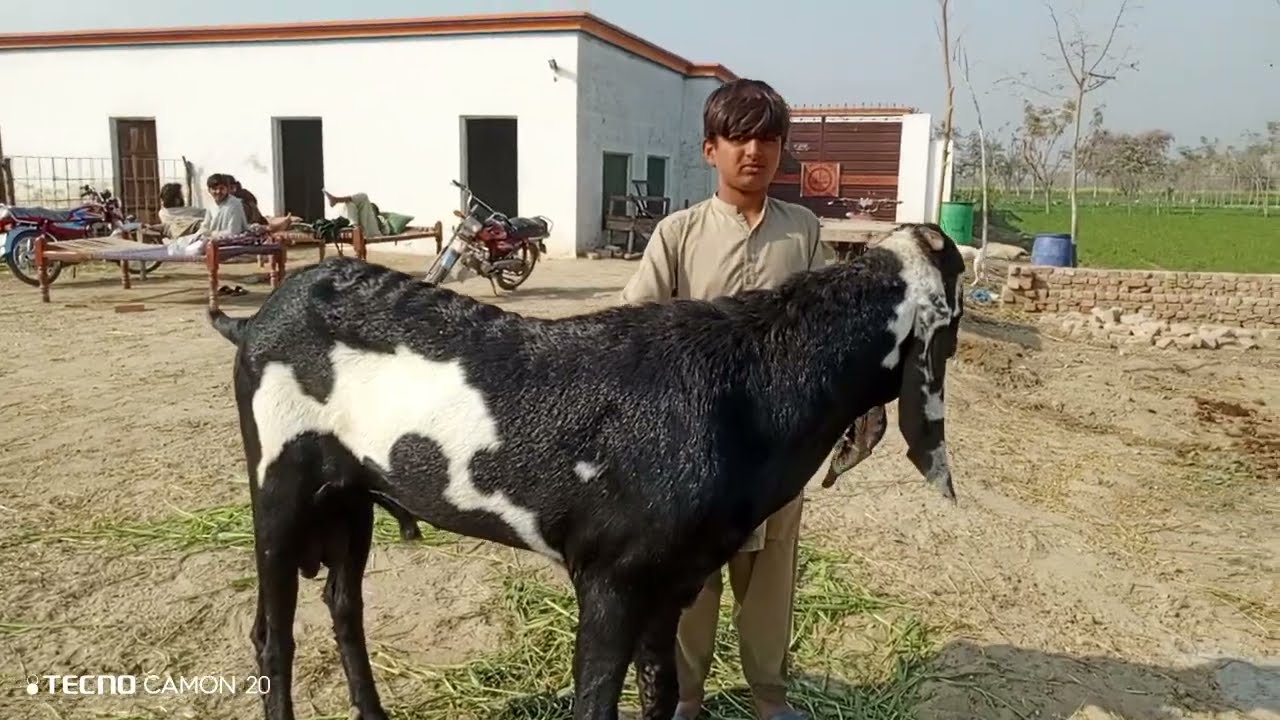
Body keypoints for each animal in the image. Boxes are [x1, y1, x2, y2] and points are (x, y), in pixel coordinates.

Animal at [206, 222, 967, 720]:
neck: (752, 382)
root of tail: (253, 323)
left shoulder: (674, 581)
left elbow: (660, 687)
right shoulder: (610, 579)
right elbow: (598, 697)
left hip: (350, 496)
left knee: (345, 608)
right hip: (278, 485)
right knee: (273, 636)